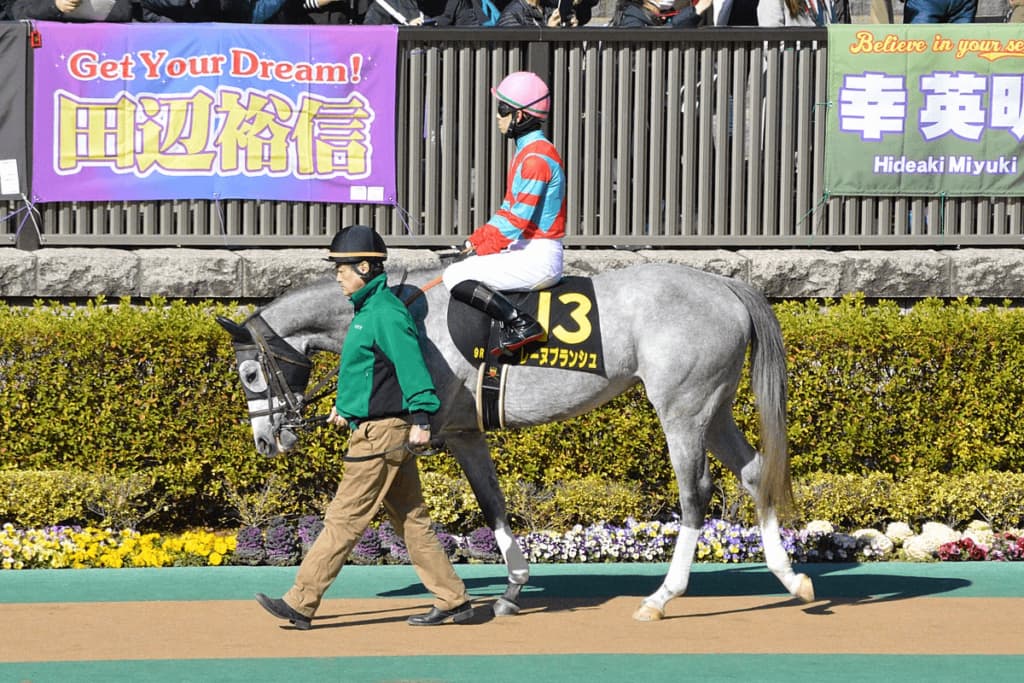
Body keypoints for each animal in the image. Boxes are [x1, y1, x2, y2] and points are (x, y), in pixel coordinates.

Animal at [217, 258, 815, 620]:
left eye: (249, 374)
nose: (267, 441)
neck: (405, 314)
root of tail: (726, 285)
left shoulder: (432, 429)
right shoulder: (464, 433)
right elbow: (492, 503)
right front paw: (508, 590)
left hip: (683, 410)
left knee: (695, 494)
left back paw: (662, 596)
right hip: (713, 410)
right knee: (755, 472)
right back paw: (790, 579)